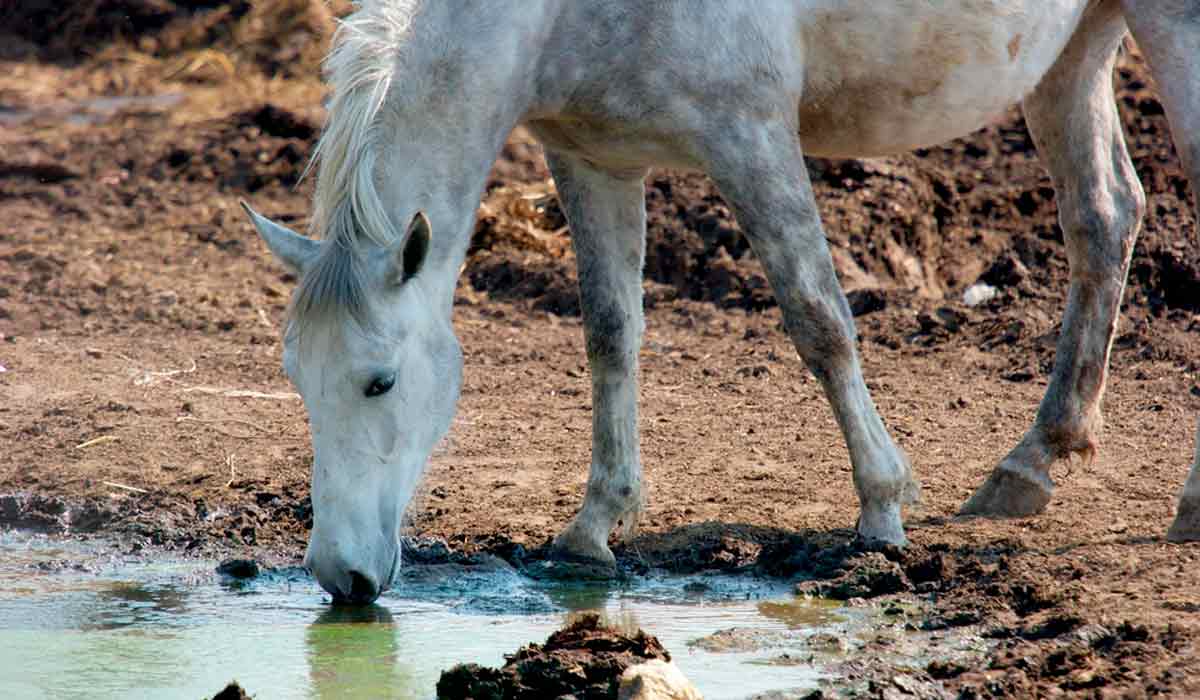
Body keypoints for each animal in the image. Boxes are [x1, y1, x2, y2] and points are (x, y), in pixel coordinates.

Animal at [238, 0, 1200, 602]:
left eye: (381, 383)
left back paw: (1185, 506)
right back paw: (1030, 463)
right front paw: (595, 525)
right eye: (298, 383)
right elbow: (611, 332)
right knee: (1105, 215)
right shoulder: (592, 159)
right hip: (1071, 53)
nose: (339, 577)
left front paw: (882, 507)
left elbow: (819, 319)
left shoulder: (751, 138)